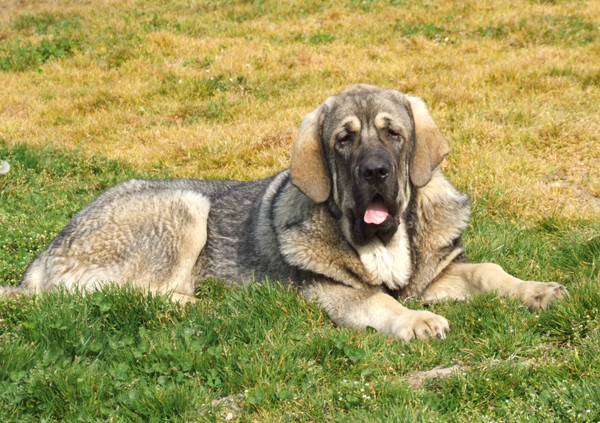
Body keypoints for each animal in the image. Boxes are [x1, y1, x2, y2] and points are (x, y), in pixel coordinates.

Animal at [1, 85, 568, 342]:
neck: (384, 242)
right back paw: (195, 302)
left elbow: (489, 272)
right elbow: (381, 303)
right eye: (343, 140)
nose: (376, 172)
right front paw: (416, 321)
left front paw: (537, 290)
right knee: (115, 292)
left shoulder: (437, 274)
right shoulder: (336, 294)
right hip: (186, 206)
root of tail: (43, 256)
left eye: (394, 134)